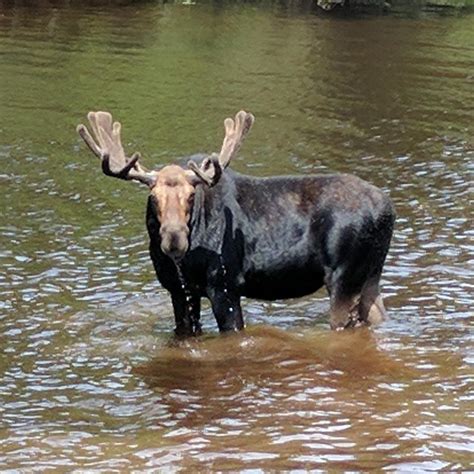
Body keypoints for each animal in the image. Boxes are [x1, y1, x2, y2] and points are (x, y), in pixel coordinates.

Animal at [78, 110, 394, 336]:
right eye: (153, 197)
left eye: (191, 195)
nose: (174, 238)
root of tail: (388, 210)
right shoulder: (178, 290)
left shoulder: (225, 287)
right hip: (370, 276)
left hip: (344, 278)